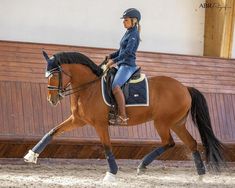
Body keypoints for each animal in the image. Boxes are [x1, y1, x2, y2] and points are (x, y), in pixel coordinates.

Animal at [24, 50, 226, 181]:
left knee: (169, 142)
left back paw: (143, 165)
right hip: (177, 123)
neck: (88, 87)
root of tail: (185, 88)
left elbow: (106, 147)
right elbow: (52, 131)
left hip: (162, 122)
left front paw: (112, 172)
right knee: (190, 143)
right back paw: (200, 174)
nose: (51, 99)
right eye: (46, 75)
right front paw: (31, 155)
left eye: (54, 75)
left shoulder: (100, 124)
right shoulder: (78, 120)